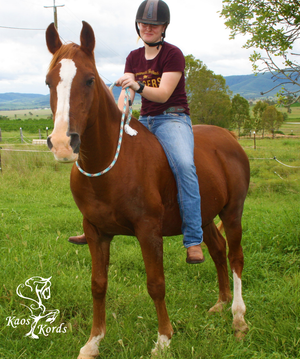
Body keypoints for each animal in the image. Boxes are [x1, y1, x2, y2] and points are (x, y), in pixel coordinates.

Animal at [45, 22, 251, 359]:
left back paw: (238, 319)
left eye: (89, 80)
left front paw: (164, 340)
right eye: (49, 81)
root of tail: (230, 139)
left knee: (235, 258)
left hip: (232, 213)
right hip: (204, 215)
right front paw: (93, 342)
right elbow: (98, 284)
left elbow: (156, 283)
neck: (111, 165)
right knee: (218, 250)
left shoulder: (148, 230)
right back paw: (220, 304)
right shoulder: (95, 231)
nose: (63, 143)